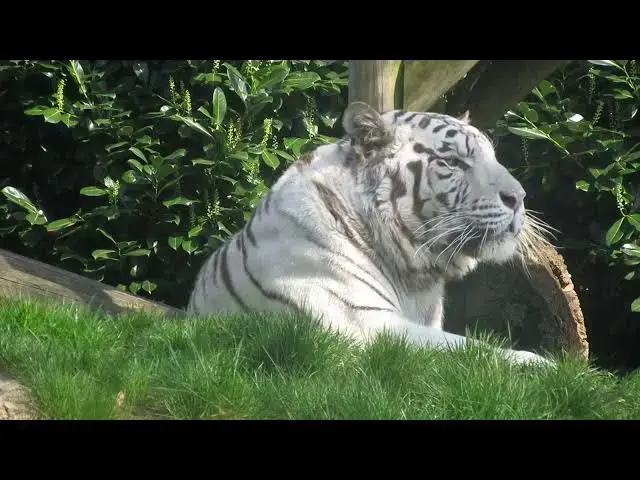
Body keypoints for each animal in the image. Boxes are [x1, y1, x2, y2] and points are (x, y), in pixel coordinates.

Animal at [187, 101, 555, 366]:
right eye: (452, 162)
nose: (519, 197)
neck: (416, 275)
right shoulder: (367, 325)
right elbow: (473, 349)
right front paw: (548, 368)